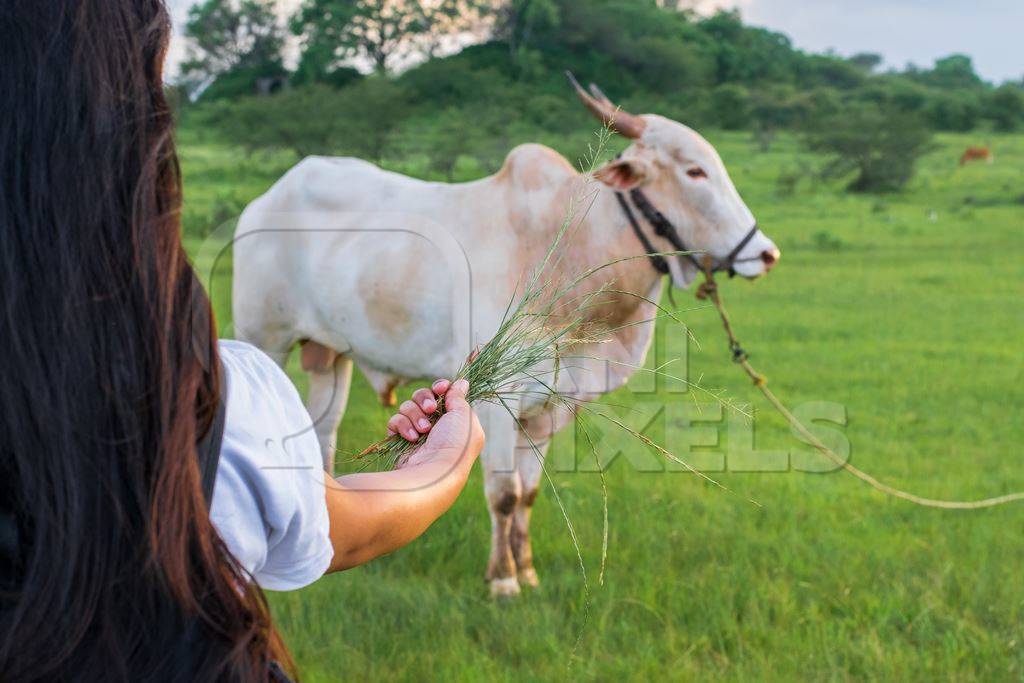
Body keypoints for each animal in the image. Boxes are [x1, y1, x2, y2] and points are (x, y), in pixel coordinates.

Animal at [230, 77, 774, 593]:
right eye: (695, 172)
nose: (766, 253)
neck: (568, 246)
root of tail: (265, 200)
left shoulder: (552, 405)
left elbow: (528, 494)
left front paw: (527, 570)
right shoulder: (497, 402)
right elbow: (504, 493)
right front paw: (503, 579)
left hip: (332, 354)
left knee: (323, 432)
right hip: (264, 341)